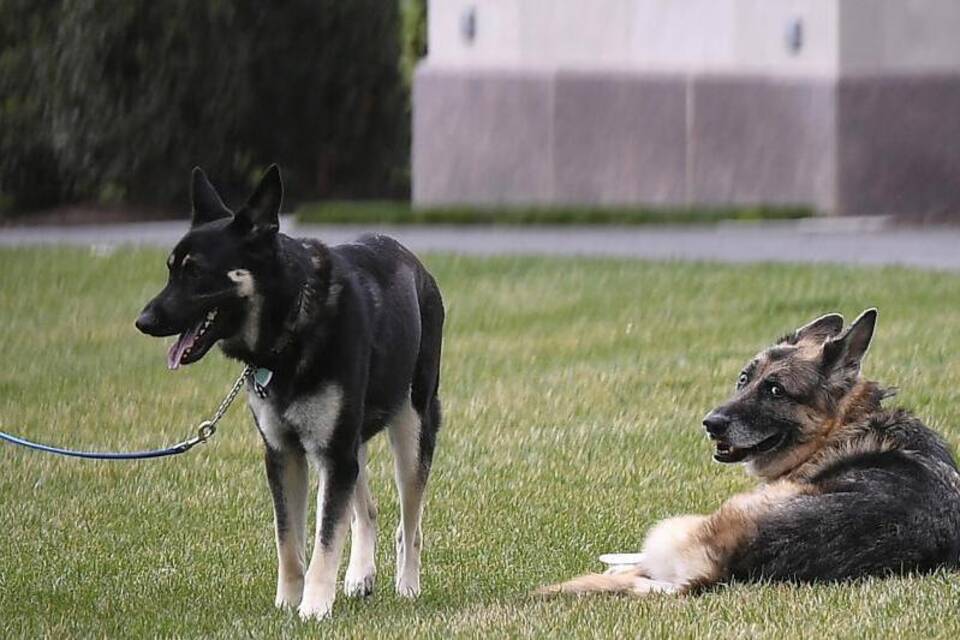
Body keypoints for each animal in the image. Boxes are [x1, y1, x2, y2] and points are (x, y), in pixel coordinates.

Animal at [135, 165, 442, 620]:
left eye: (195, 272)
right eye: (170, 269)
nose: (143, 321)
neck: (292, 322)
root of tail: (414, 262)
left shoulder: (332, 454)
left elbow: (325, 539)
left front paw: (314, 608)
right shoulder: (285, 455)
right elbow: (289, 540)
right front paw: (288, 602)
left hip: (411, 429)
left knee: (410, 524)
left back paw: (407, 585)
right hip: (352, 443)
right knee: (367, 510)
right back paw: (360, 575)